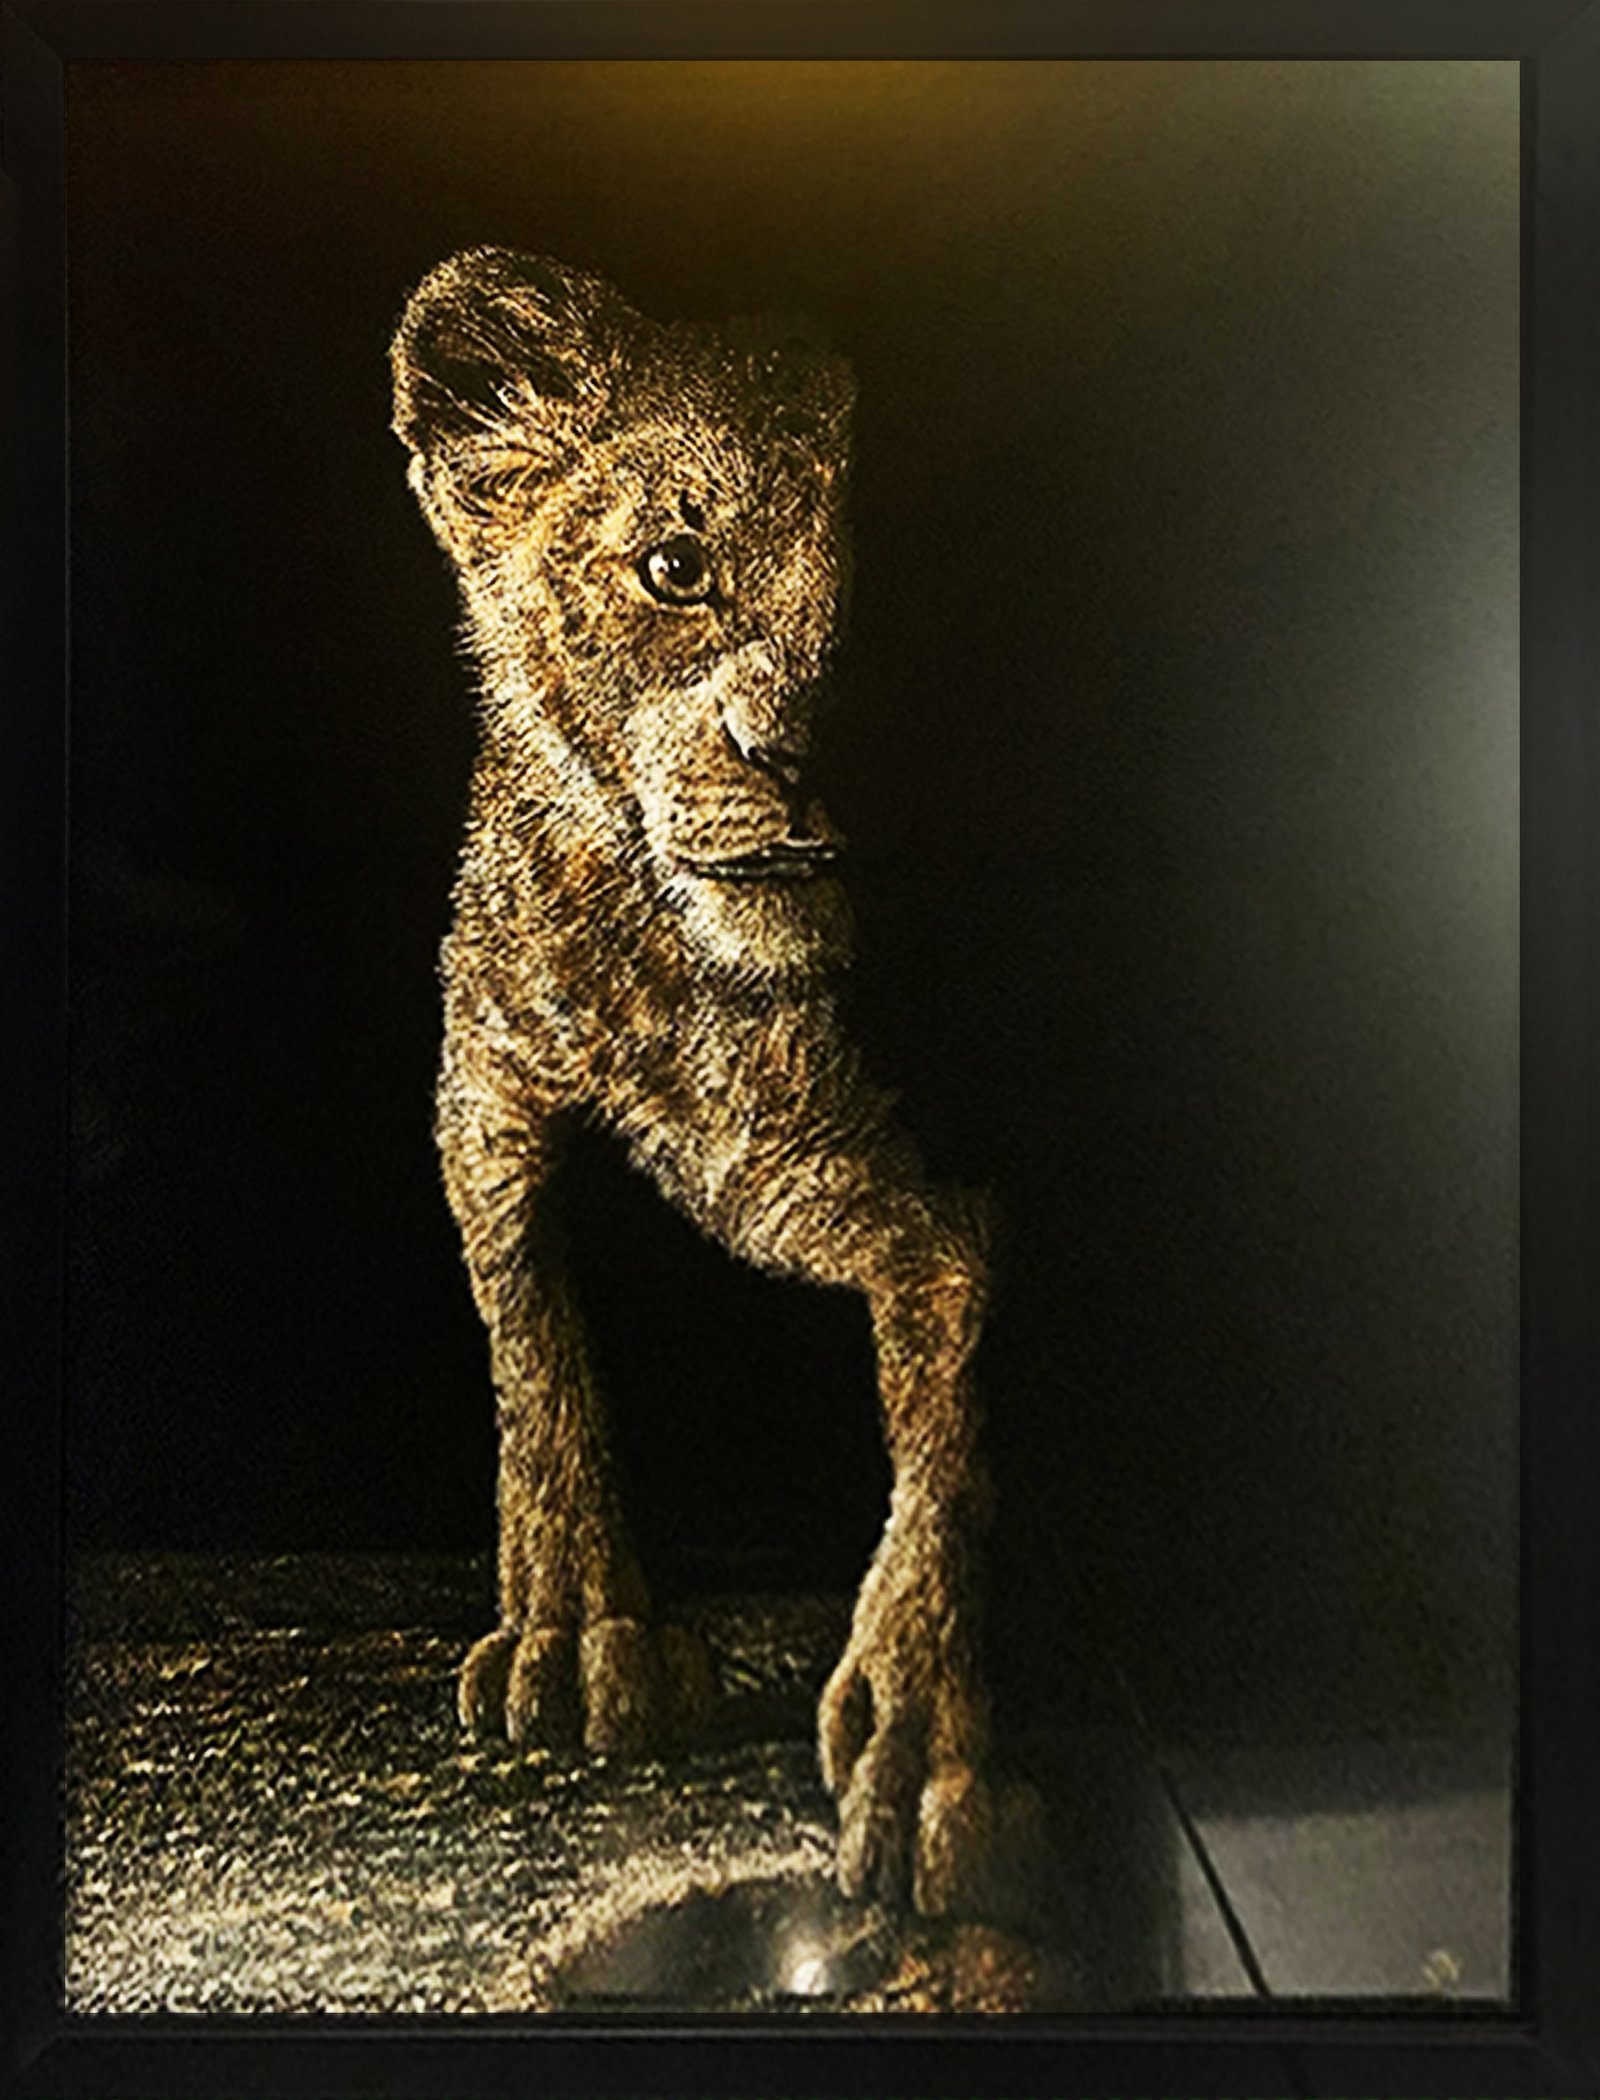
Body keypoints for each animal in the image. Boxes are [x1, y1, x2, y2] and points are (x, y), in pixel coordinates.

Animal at [390, 247, 1018, 1914]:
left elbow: (948, 1436)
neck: (696, 994)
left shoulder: (913, 1185)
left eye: (917, 581)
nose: (788, 755)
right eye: (679, 567)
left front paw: (923, 1745)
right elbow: (538, 1342)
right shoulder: (484, 1090)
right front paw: (577, 1633)